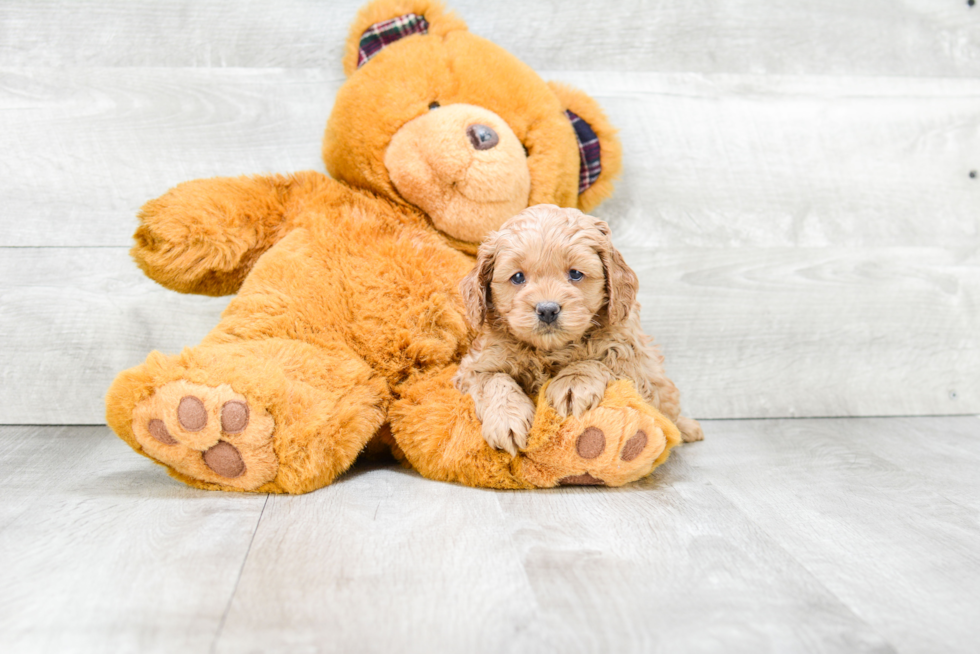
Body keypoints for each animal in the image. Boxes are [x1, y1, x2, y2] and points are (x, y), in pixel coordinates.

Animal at [456, 205, 700, 456]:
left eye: (575, 274)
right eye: (517, 277)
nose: (547, 310)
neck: (549, 350)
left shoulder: (634, 364)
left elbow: (600, 361)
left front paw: (572, 384)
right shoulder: (474, 366)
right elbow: (494, 379)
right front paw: (507, 420)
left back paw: (687, 428)